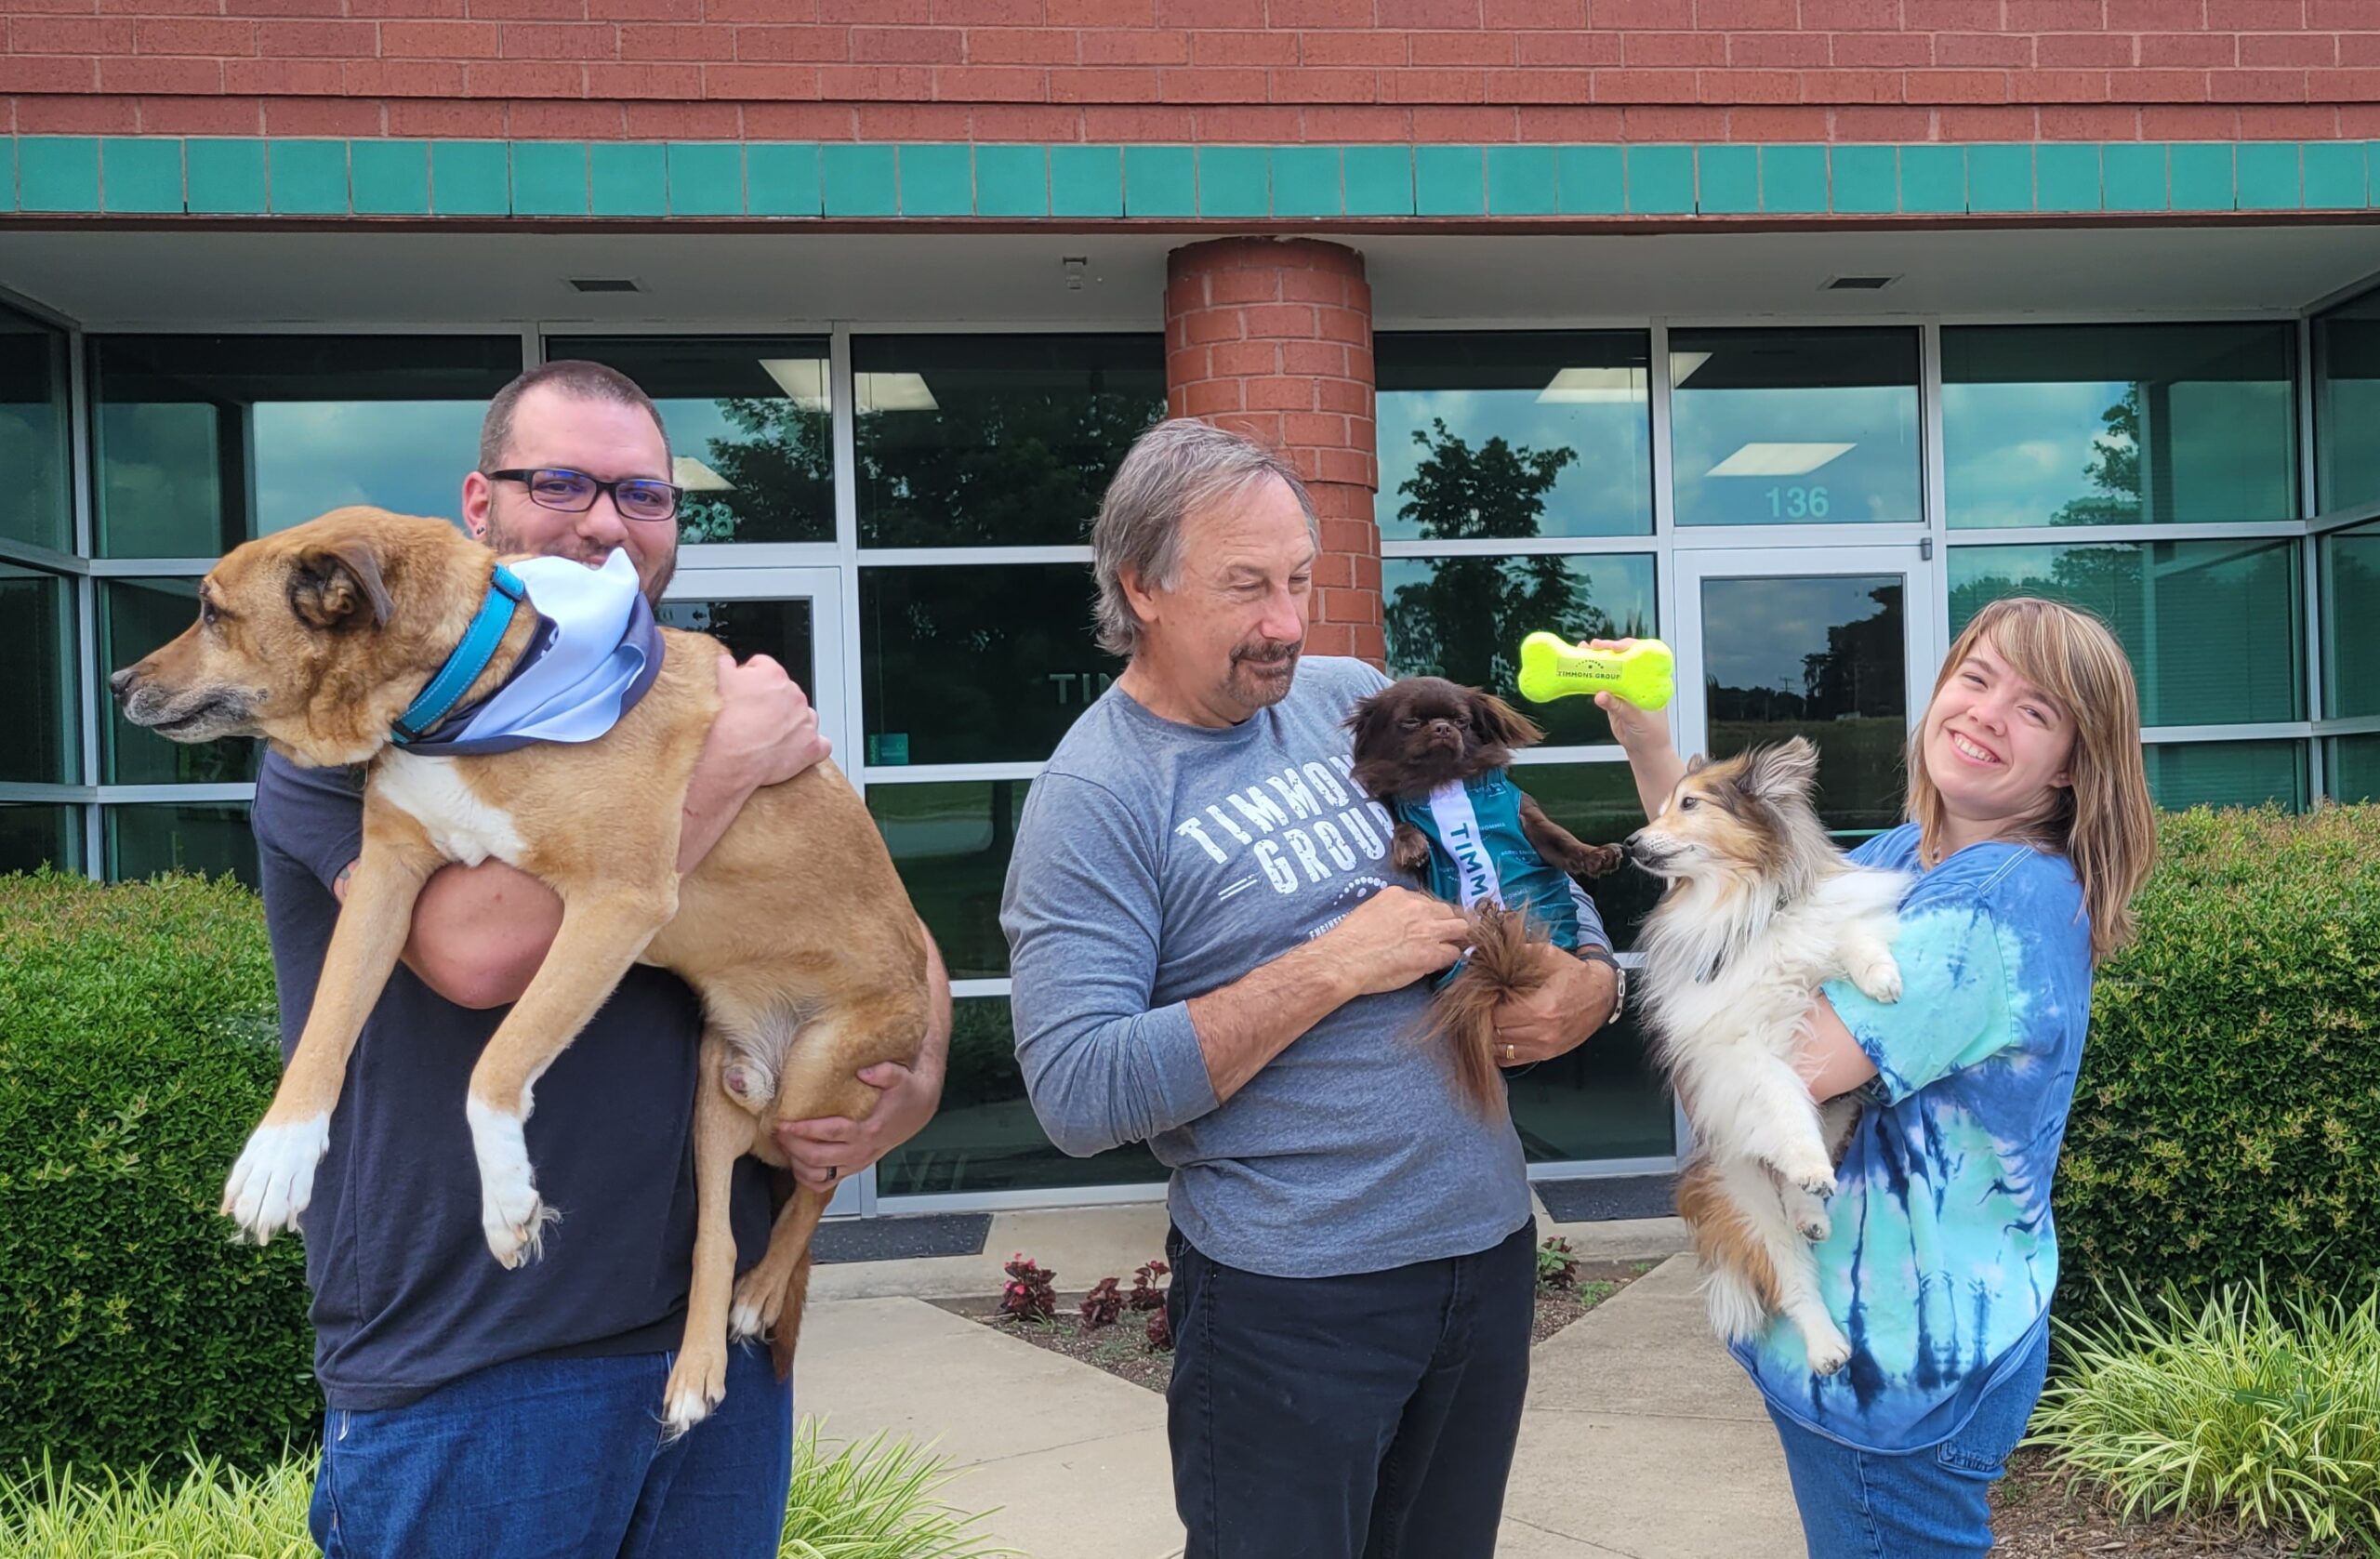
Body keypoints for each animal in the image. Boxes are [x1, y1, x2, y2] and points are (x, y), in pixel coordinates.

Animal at [113, 507, 928, 1437]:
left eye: (212, 612)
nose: (116, 680)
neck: (469, 691)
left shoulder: (615, 901)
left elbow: (495, 1063)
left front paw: (508, 1198)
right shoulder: (386, 874)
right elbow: (327, 1022)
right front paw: (277, 1155)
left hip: (814, 1084)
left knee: (814, 1190)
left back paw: (760, 1292)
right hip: (718, 1095)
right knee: (718, 1231)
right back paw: (700, 1363)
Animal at [1352, 676, 1628, 1114]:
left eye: (1461, 722)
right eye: (1411, 722)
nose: (1442, 728)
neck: (1442, 785)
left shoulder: (1527, 820)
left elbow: (1560, 839)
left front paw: (1596, 854)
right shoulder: (1404, 815)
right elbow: (1402, 824)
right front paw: (1410, 845)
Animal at [1628, 737, 1904, 1370]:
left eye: (1690, 804)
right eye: (1662, 806)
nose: (1630, 844)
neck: (1748, 901)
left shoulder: (1820, 932)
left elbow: (1847, 933)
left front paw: (1882, 978)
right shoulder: (1736, 1048)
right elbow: (1780, 1096)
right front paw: (1806, 1161)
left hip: (1843, 1112)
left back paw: (1812, 1209)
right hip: (1746, 1203)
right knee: (1792, 1278)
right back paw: (1826, 1345)